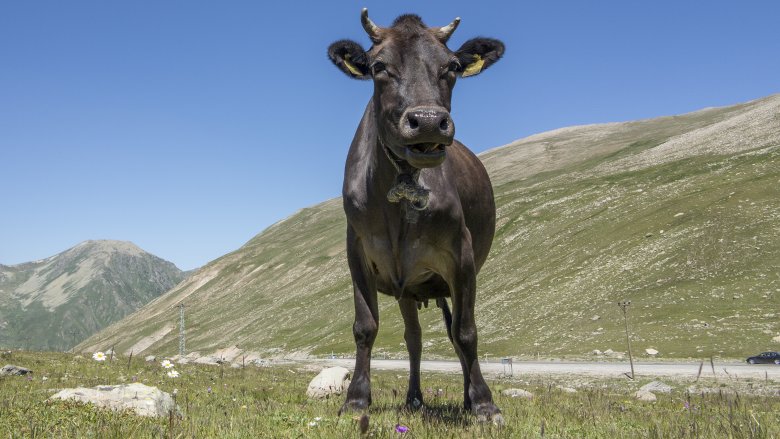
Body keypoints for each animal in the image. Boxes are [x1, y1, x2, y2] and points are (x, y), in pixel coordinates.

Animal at [330, 9, 506, 422]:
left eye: (452, 66)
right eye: (379, 66)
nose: (427, 121)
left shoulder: (461, 256)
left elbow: (466, 333)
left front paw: (484, 403)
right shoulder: (357, 250)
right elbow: (365, 327)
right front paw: (356, 399)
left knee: (453, 332)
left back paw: (466, 398)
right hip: (408, 288)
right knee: (415, 338)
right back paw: (414, 398)